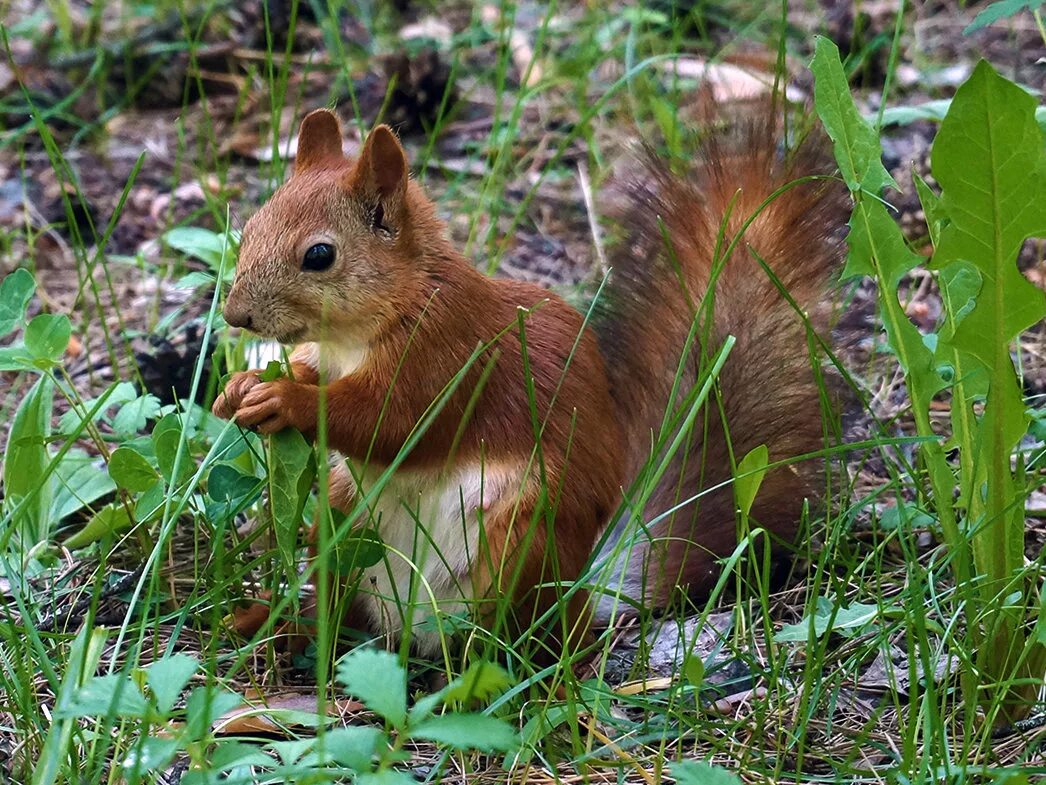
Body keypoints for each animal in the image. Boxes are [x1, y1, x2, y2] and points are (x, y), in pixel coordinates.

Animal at [210, 107, 840, 653]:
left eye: (319, 255)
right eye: (253, 224)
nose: (237, 315)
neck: (360, 331)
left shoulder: (449, 356)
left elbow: (393, 424)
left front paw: (284, 398)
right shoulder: (333, 358)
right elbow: (314, 373)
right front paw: (241, 385)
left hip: (524, 540)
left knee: (518, 642)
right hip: (341, 522)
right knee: (339, 617)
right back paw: (271, 622)